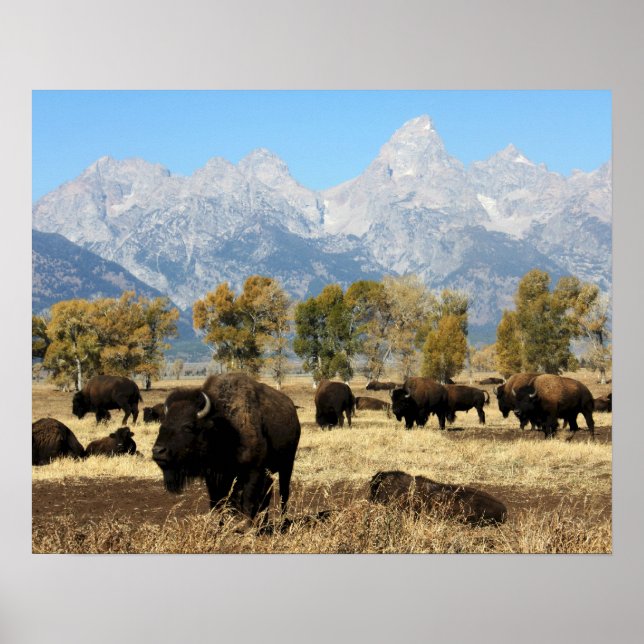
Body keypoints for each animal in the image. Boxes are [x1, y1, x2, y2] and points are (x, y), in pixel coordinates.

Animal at [152, 373, 301, 519]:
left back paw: (283, 521)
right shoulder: (215, 478)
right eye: (162, 425)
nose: (158, 451)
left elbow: (248, 503)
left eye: (188, 426)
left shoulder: (253, 472)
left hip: (287, 465)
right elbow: (220, 504)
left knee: (283, 493)